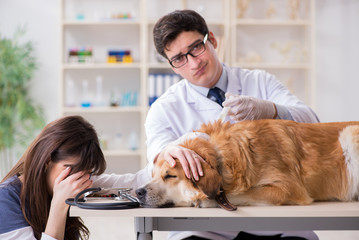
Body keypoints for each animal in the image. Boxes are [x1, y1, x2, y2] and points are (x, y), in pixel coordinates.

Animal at [136, 120, 359, 208]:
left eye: (170, 175)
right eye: (153, 175)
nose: (138, 191)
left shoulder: (288, 189)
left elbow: (242, 194)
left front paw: (207, 200)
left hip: (349, 134)